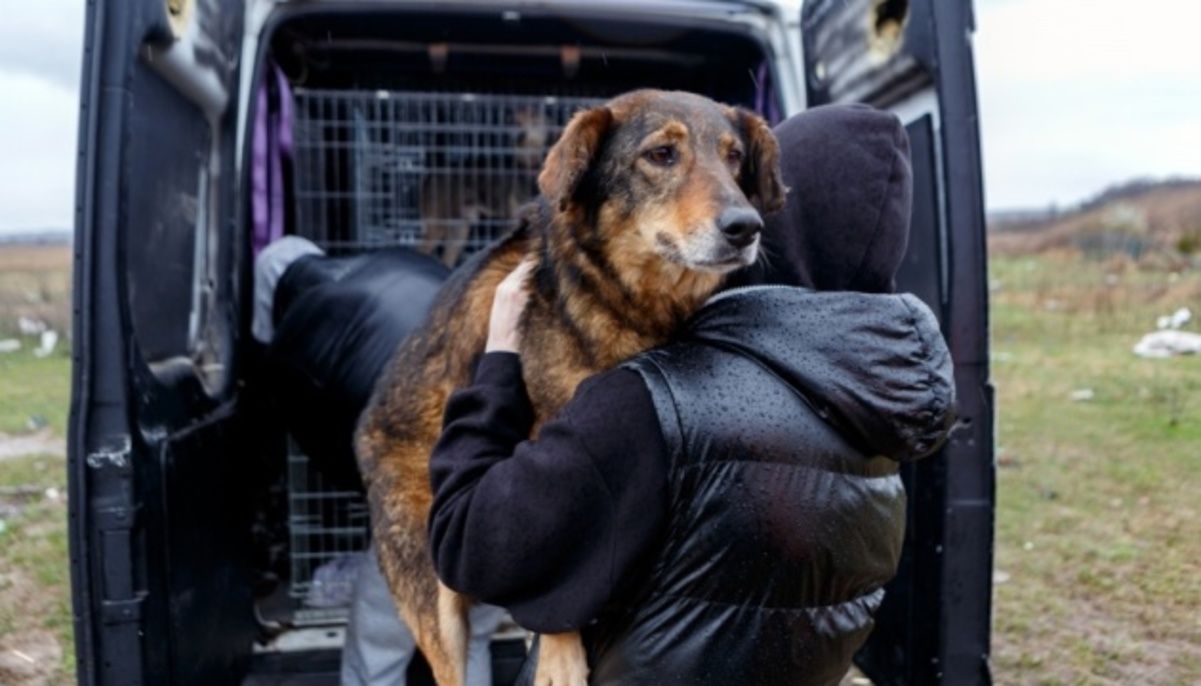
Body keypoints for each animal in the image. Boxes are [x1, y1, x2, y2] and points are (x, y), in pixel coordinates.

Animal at [355, 91, 787, 686]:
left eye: (734, 158)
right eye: (661, 155)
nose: (745, 226)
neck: (628, 302)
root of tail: (366, 428)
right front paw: (560, 658)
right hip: (432, 594)